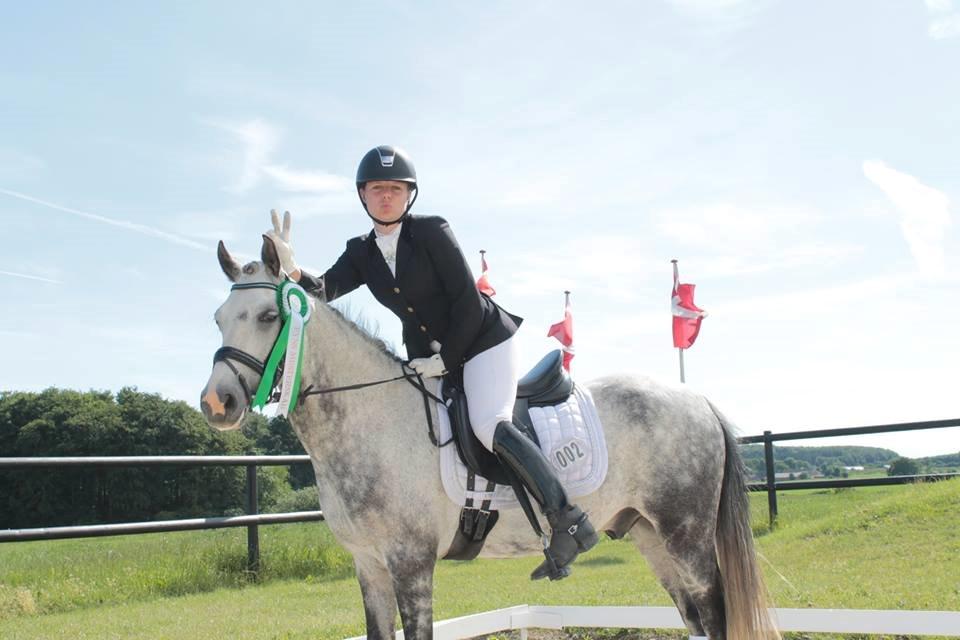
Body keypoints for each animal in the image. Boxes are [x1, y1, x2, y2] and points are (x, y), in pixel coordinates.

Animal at [200, 236, 779, 640]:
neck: (369, 417)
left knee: (714, 612)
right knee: (694, 617)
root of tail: (696, 399)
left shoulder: (410, 564)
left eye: (270, 316)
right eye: (218, 318)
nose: (216, 403)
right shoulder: (369, 566)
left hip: (686, 535)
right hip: (648, 534)